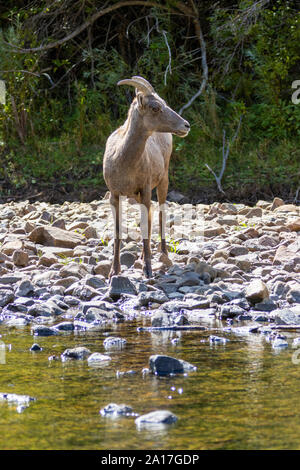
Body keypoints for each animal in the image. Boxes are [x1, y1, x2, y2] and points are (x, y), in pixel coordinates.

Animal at [103, 75, 190, 278]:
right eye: (155, 107)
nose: (186, 126)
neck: (123, 162)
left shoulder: (145, 189)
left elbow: (144, 226)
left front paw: (148, 271)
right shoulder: (115, 195)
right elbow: (118, 233)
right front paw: (114, 272)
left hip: (162, 182)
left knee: (160, 214)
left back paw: (163, 255)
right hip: (139, 195)